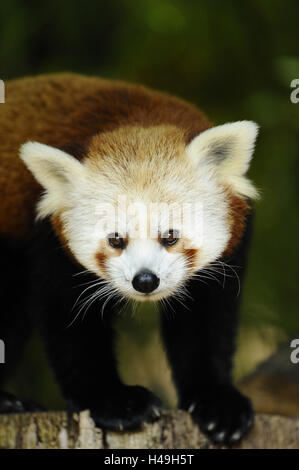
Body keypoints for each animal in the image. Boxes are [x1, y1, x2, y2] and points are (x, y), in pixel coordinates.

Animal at [0, 73, 258, 444]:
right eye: (116, 239)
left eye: (170, 236)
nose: (145, 280)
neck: (136, 118)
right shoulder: (48, 243)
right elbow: (71, 325)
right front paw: (115, 402)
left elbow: (206, 323)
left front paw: (217, 402)